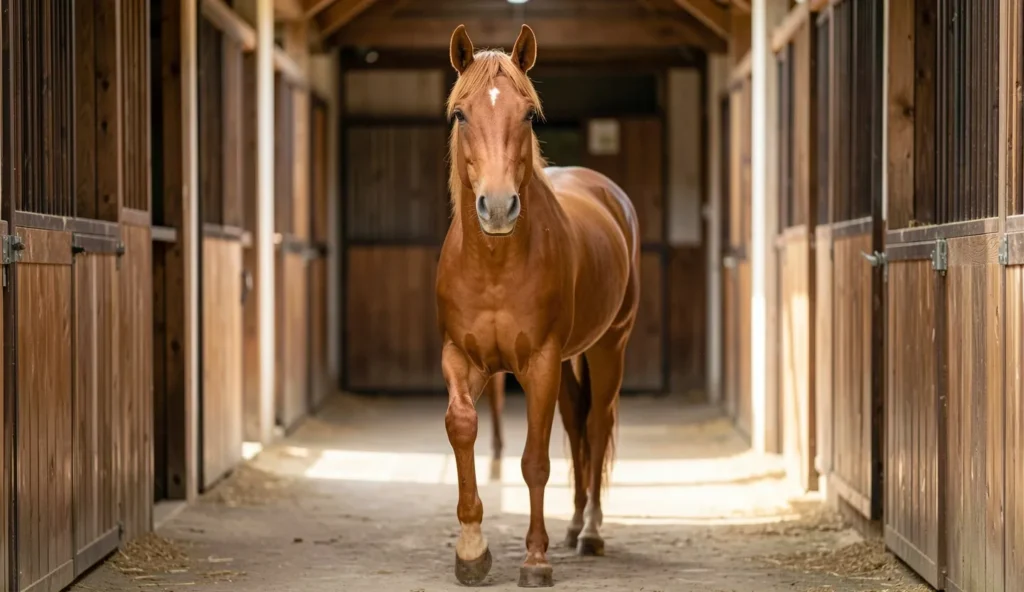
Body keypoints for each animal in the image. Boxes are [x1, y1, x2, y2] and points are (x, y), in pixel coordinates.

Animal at [435, 24, 640, 588]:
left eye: (528, 114)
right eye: (460, 114)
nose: (498, 207)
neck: (495, 266)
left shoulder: (541, 363)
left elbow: (534, 462)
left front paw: (535, 559)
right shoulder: (462, 357)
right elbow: (463, 427)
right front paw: (471, 549)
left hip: (608, 347)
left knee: (596, 426)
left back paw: (589, 532)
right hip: (573, 360)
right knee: (577, 424)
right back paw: (572, 526)